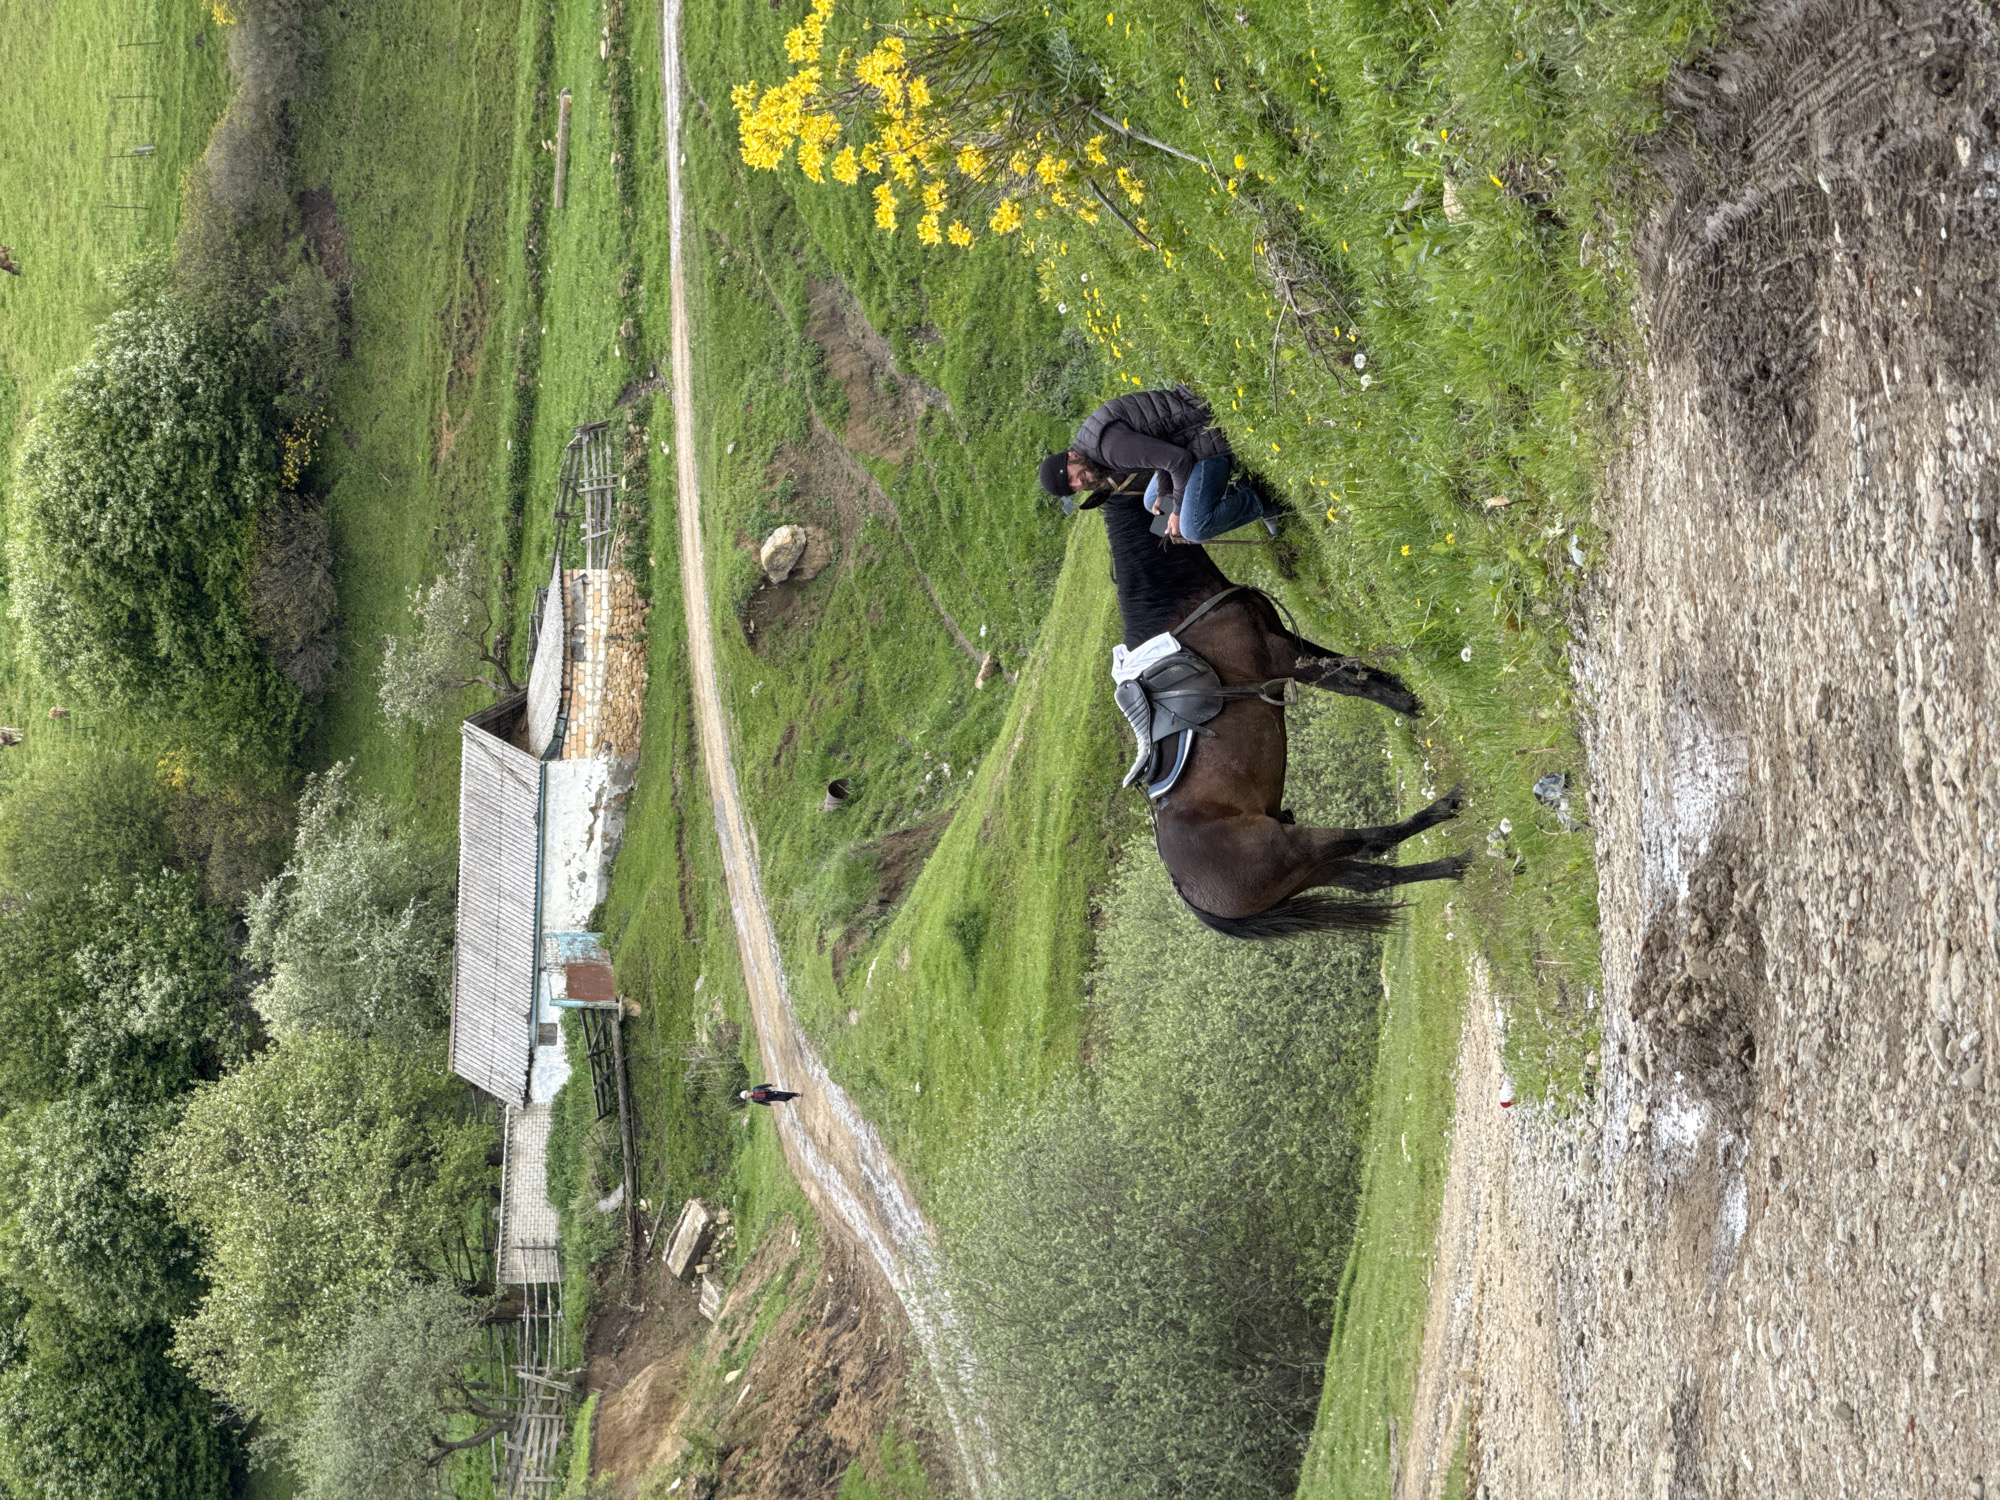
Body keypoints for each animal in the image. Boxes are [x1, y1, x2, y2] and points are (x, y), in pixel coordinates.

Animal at [1101, 488, 1466, 939]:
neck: (1182, 611)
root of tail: (1191, 894)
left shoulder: (1282, 638)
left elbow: (1348, 668)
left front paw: (1404, 689)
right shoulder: (1280, 656)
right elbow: (1347, 681)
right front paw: (1408, 703)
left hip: (1305, 874)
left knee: (1372, 878)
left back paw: (1453, 866)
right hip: (1298, 849)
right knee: (1373, 842)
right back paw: (1448, 806)